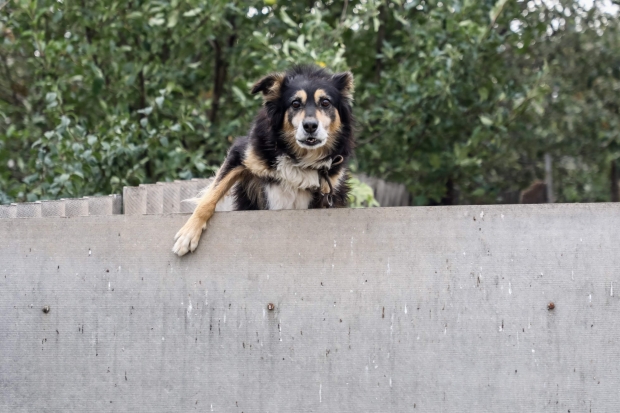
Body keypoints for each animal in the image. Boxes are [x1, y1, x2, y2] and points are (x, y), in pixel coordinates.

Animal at [172, 65, 356, 256]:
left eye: (325, 103)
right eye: (295, 104)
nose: (310, 126)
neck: (300, 156)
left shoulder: (330, 190)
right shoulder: (241, 153)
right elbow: (210, 197)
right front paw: (188, 234)